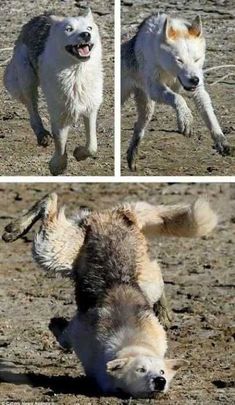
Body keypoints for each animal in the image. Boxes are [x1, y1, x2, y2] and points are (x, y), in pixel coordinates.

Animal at [2, 193, 218, 398]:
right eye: (141, 370)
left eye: (162, 372)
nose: (159, 381)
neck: (134, 342)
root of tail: (121, 215)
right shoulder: (78, 333)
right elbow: (64, 335)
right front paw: (56, 324)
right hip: (53, 250)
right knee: (50, 203)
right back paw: (15, 228)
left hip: (142, 277)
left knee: (158, 278)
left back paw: (163, 309)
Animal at [3, 6, 103, 174]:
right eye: (69, 29)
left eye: (89, 28)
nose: (86, 35)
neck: (76, 73)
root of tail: (40, 16)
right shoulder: (59, 112)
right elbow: (60, 141)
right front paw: (57, 165)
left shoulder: (90, 107)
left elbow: (92, 145)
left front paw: (79, 154)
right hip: (27, 80)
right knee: (32, 111)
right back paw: (42, 134)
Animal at [122, 13, 230, 169]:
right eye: (179, 60)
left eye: (196, 59)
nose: (194, 80)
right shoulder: (155, 88)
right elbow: (178, 99)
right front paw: (185, 119)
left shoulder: (198, 90)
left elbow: (210, 115)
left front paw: (220, 139)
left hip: (148, 109)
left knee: (137, 127)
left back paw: (132, 157)